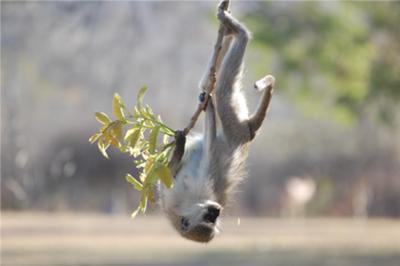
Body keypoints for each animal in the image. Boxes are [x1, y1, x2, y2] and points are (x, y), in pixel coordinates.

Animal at [159, 1, 276, 243]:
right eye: (210, 218)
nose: (217, 210)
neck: (184, 206)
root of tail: (249, 131)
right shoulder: (177, 195)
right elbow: (172, 171)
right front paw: (179, 148)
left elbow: (203, 153)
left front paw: (180, 146)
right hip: (236, 127)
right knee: (221, 90)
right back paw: (237, 34)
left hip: (235, 128)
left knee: (215, 88)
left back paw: (231, 30)